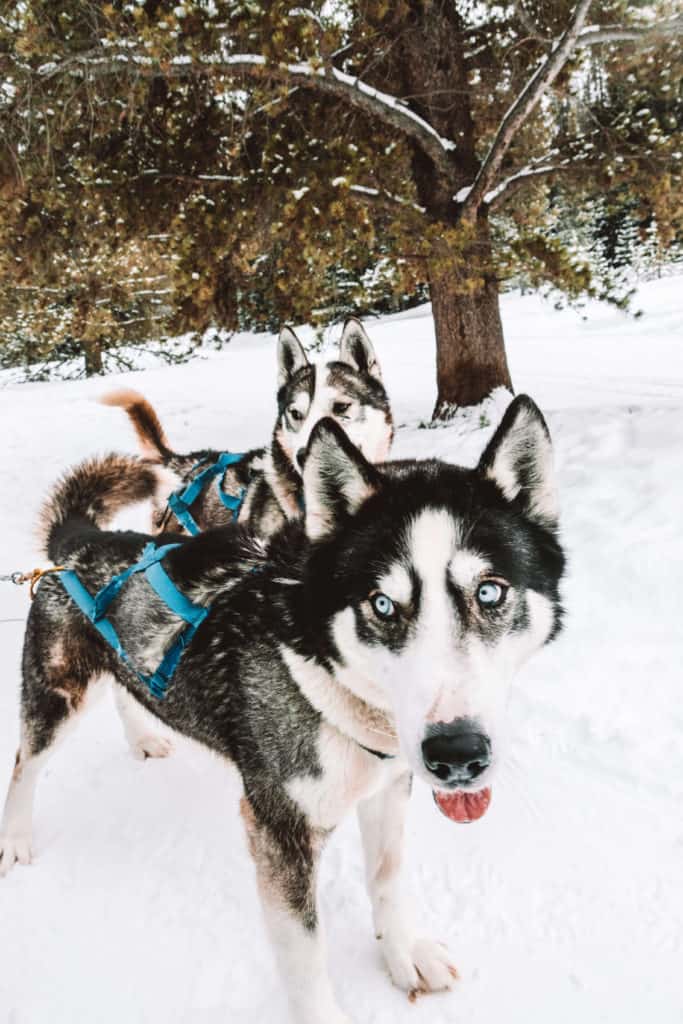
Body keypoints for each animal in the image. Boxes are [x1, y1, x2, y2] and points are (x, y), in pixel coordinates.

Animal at [0, 395, 565, 1019]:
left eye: (489, 591)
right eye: (383, 604)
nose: (457, 753)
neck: (324, 678)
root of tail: (78, 547)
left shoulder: (388, 787)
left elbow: (387, 878)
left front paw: (402, 952)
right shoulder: (278, 830)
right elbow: (305, 955)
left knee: (128, 691)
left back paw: (144, 735)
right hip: (57, 696)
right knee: (25, 764)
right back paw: (16, 840)